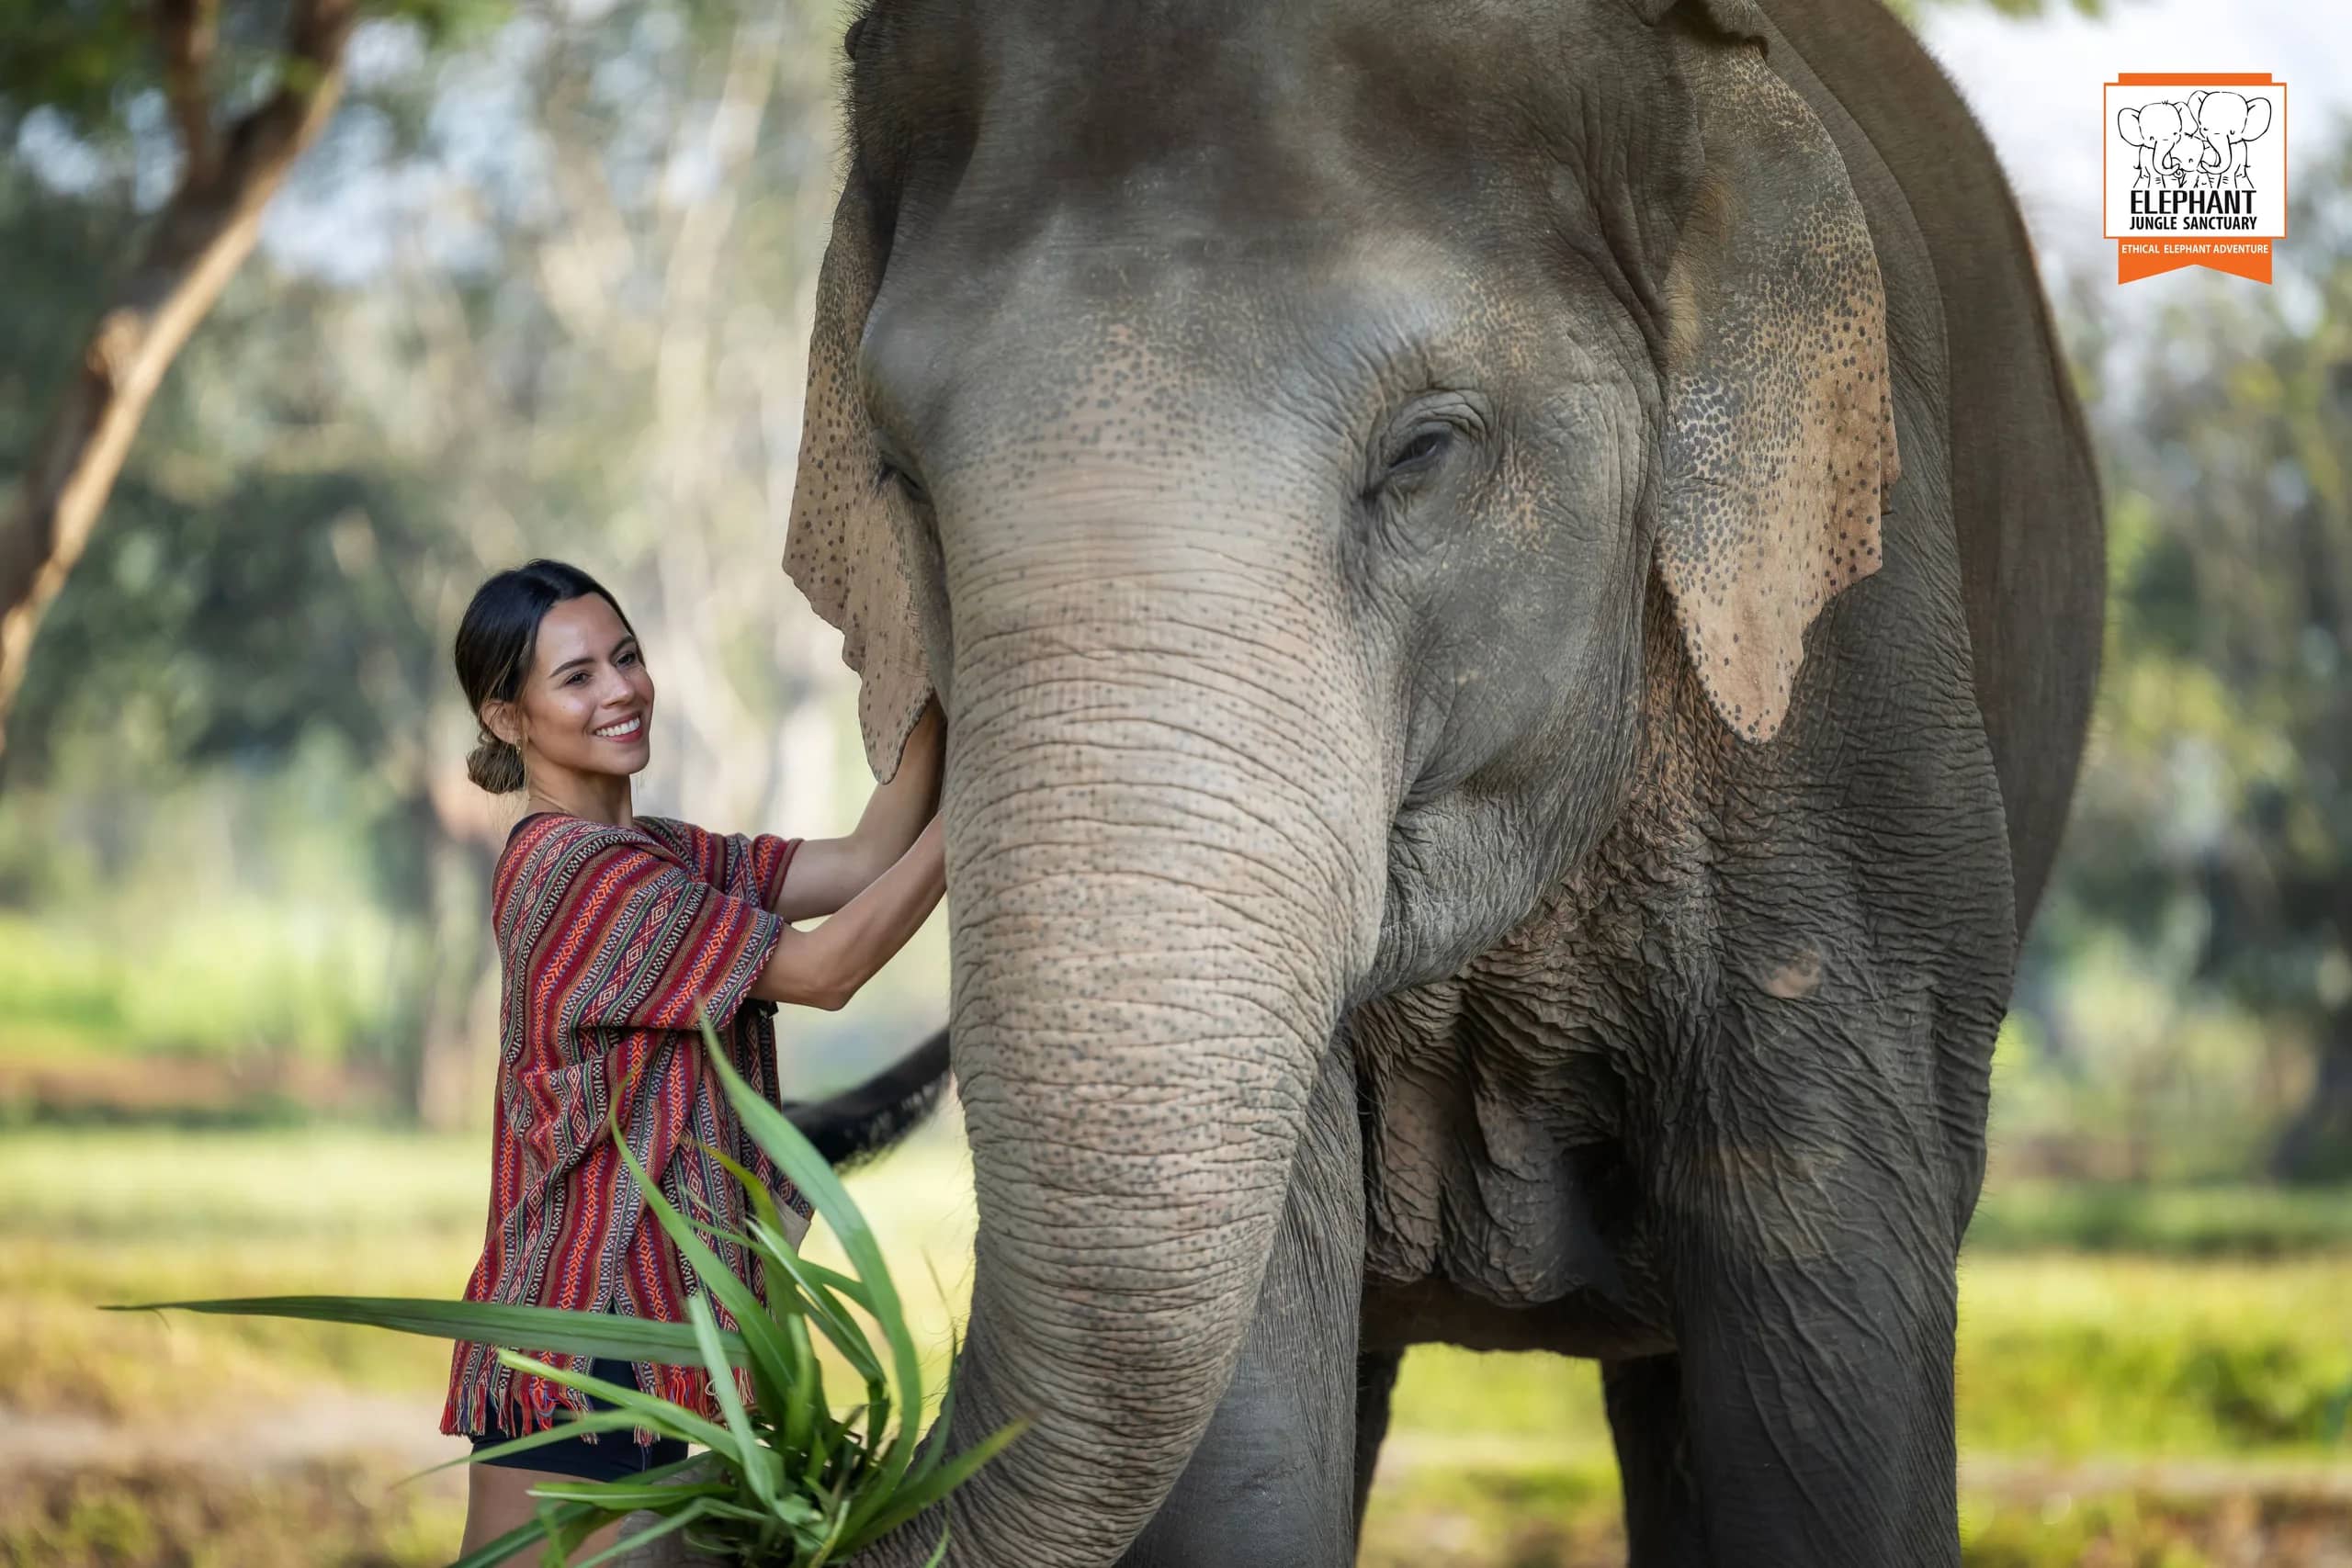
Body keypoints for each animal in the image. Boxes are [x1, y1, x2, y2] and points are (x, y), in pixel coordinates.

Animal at [704, 0, 2109, 1564]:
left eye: (1426, 448)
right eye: (897, 472)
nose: (806, 1475)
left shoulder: (1858, 733)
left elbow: (1829, 1362)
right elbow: (1244, 1410)